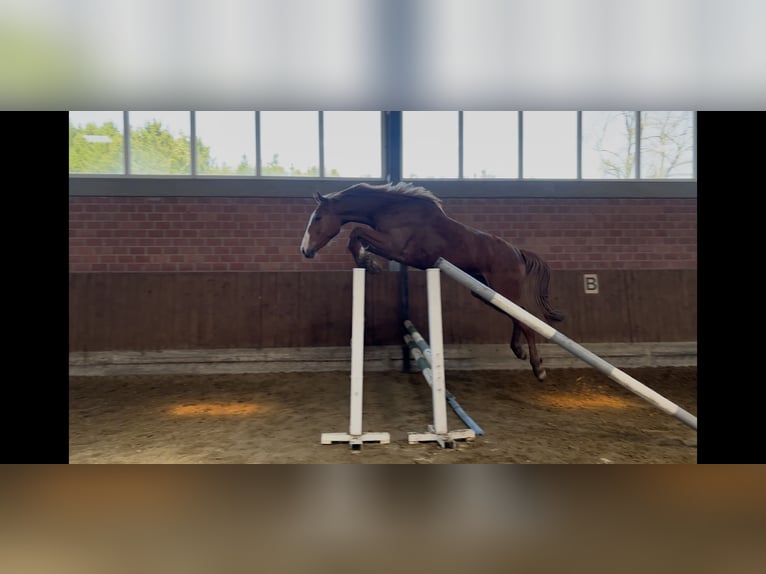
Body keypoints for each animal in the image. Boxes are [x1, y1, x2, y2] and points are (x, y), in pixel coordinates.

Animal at [299, 182, 564, 381]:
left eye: (318, 218)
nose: (305, 250)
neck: (390, 209)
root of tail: (517, 252)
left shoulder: (395, 246)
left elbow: (356, 232)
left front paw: (369, 263)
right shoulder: (390, 248)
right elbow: (357, 237)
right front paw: (368, 262)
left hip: (503, 291)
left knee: (525, 320)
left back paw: (538, 369)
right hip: (486, 294)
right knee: (517, 317)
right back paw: (518, 351)